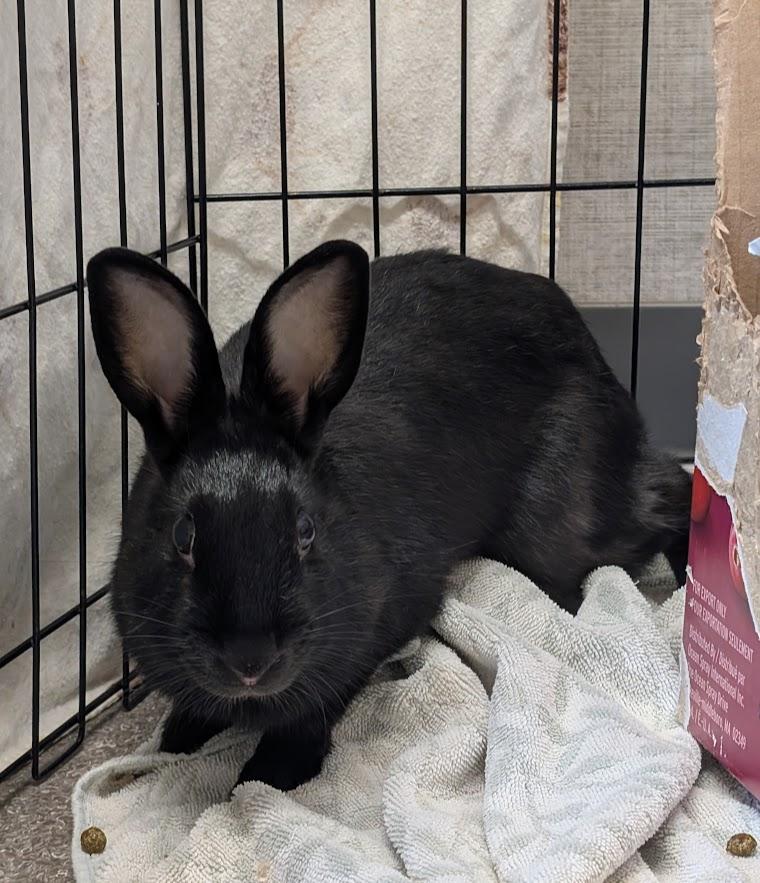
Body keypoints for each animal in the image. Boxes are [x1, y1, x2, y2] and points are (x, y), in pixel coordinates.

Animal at [86, 240, 691, 791]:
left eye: (305, 531)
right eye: (182, 535)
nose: (250, 659)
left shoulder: (371, 632)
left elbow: (314, 712)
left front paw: (271, 774)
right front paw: (175, 740)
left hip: (561, 525)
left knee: (672, 493)